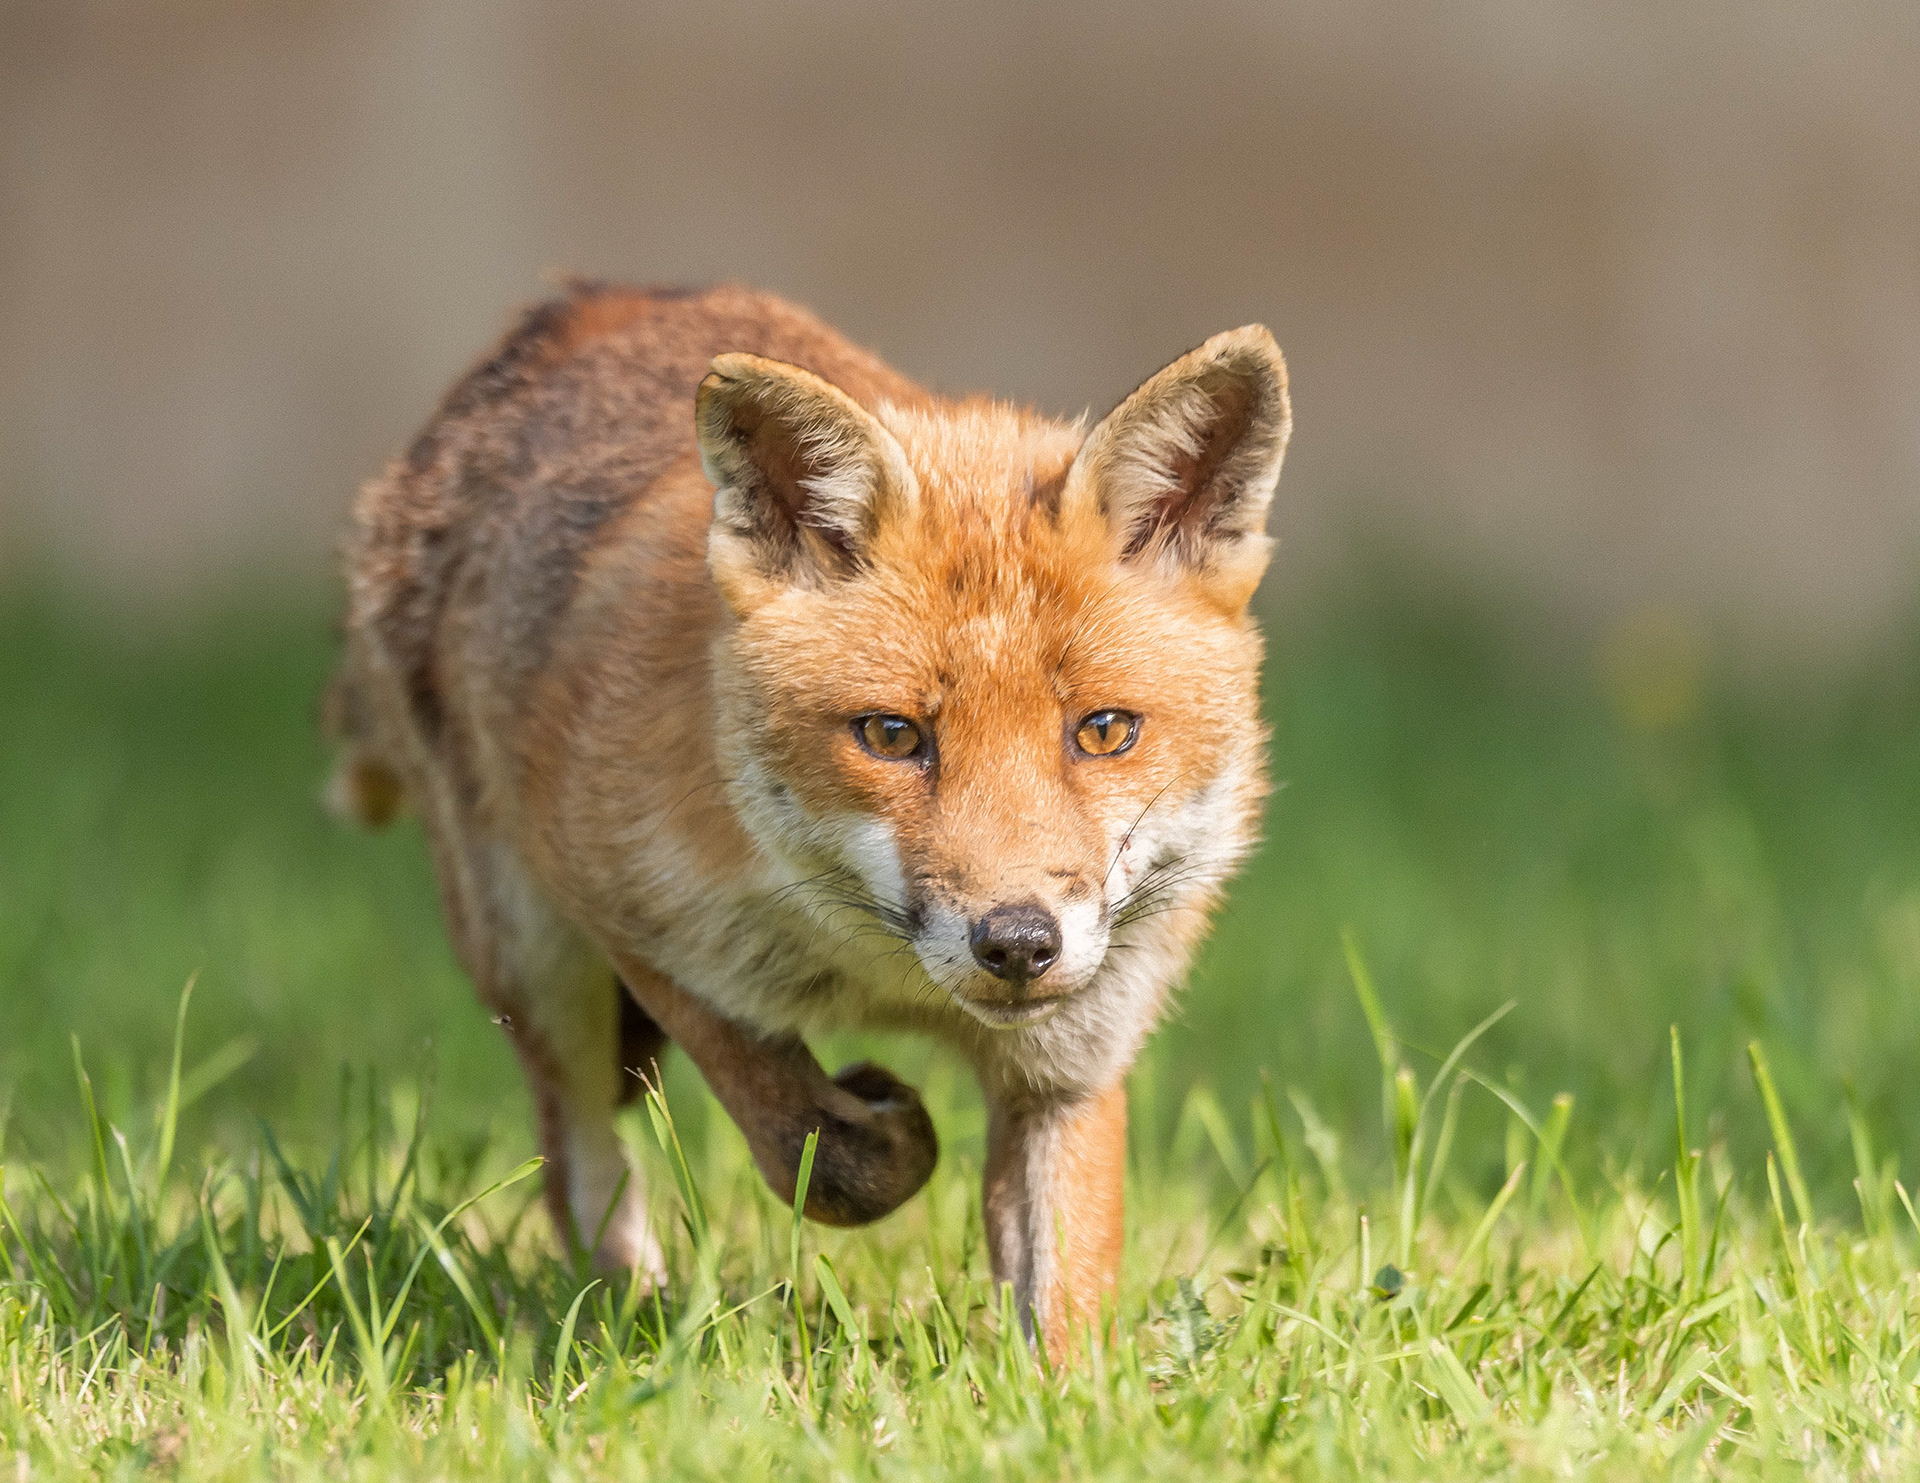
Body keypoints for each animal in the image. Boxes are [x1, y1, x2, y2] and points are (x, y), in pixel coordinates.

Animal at [330, 280, 1290, 1352]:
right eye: (891, 735)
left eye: (1106, 731)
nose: (1017, 943)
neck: (885, 976)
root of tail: (580, 303)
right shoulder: (639, 916)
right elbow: (820, 1147)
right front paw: (884, 1119)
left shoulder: (1072, 1062)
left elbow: (1064, 1302)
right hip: (530, 956)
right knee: (575, 1148)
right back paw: (627, 1308)